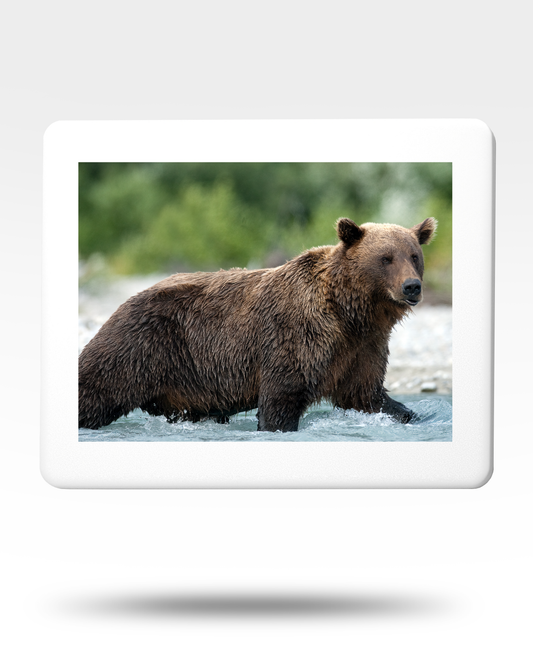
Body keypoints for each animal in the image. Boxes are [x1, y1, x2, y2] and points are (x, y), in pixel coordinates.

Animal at [79, 216, 437, 432]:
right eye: (385, 258)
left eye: (414, 255)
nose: (412, 287)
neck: (351, 312)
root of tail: (127, 299)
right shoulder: (297, 333)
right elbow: (283, 396)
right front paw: (277, 425)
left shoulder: (362, 347)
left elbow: (366, 395)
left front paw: (410, 415)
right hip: (143, 344)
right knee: (97, 388)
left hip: (187, 381)